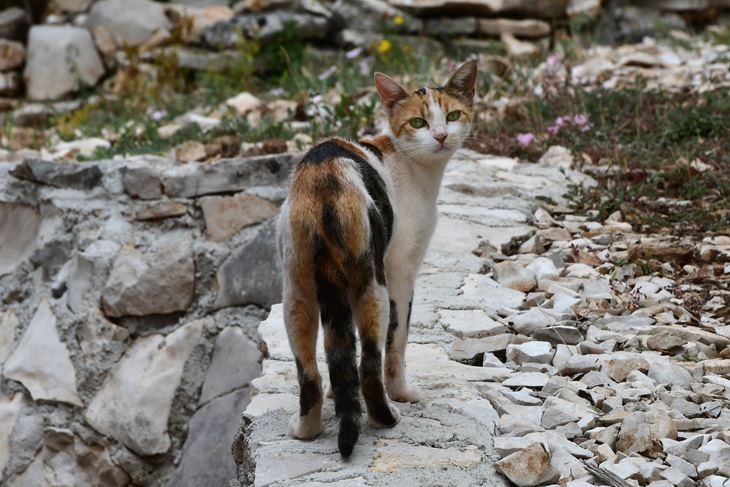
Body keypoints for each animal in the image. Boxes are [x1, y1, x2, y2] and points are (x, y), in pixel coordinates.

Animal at [276, 59, 474, 460]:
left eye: (453, 115)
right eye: (418, 122)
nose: (441, 136)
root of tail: (324, 179)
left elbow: (339, 349)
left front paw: (339, 390)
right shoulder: (401, 271)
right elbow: (397, 344)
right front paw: (402, 393)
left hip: (298, 290)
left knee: (309, 371)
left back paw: (307, 428)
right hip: (372, 283)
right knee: (370, 359)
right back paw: (386, 417)